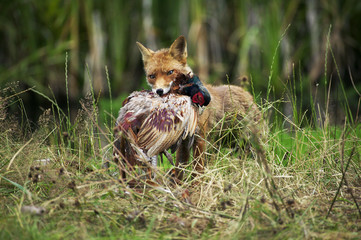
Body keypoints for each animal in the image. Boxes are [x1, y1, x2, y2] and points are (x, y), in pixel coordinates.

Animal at [136, 35, 260, 180]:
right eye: (152, 76)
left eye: (170, 72)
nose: (159, 91)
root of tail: (248, 94)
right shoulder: (183, 143)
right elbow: (179, 168)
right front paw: (179, 184)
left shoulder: (200, 139)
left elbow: (198, 169)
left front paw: (197, 185)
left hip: (247, 144)